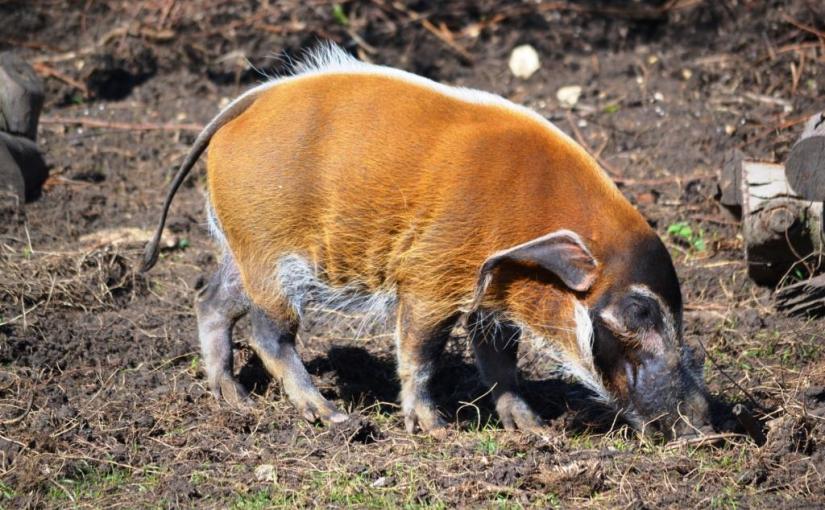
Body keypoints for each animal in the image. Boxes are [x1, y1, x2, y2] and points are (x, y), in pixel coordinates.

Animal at [142, 43, 711, 438]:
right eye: (640, 311)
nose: (706, 423)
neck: (533, 208)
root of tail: (246, 104)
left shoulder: (493, 295)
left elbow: (500, 360)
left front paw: (532, 427)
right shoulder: (430, 277)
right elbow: (421, 349)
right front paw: (434, 428)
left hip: (246, 246)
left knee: (210, 298)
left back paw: (233, 396)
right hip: (270, 252)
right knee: (268, 331)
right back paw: (330, 416)